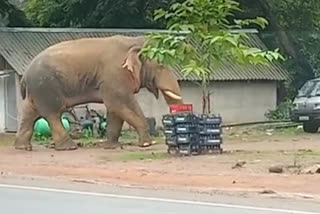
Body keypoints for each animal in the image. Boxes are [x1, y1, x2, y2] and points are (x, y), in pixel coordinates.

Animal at [14, 34, 182, 150]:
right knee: (53, 114)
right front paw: (147, 144)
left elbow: (115, 109)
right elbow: (119, 103)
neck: (134, 41)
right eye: (161, 65)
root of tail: (25, 75)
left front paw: (111, 146)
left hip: (37, 90)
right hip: (46, 86)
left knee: (31, 113)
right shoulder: (114, 76)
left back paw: (23, 147)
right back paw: (69, 147)